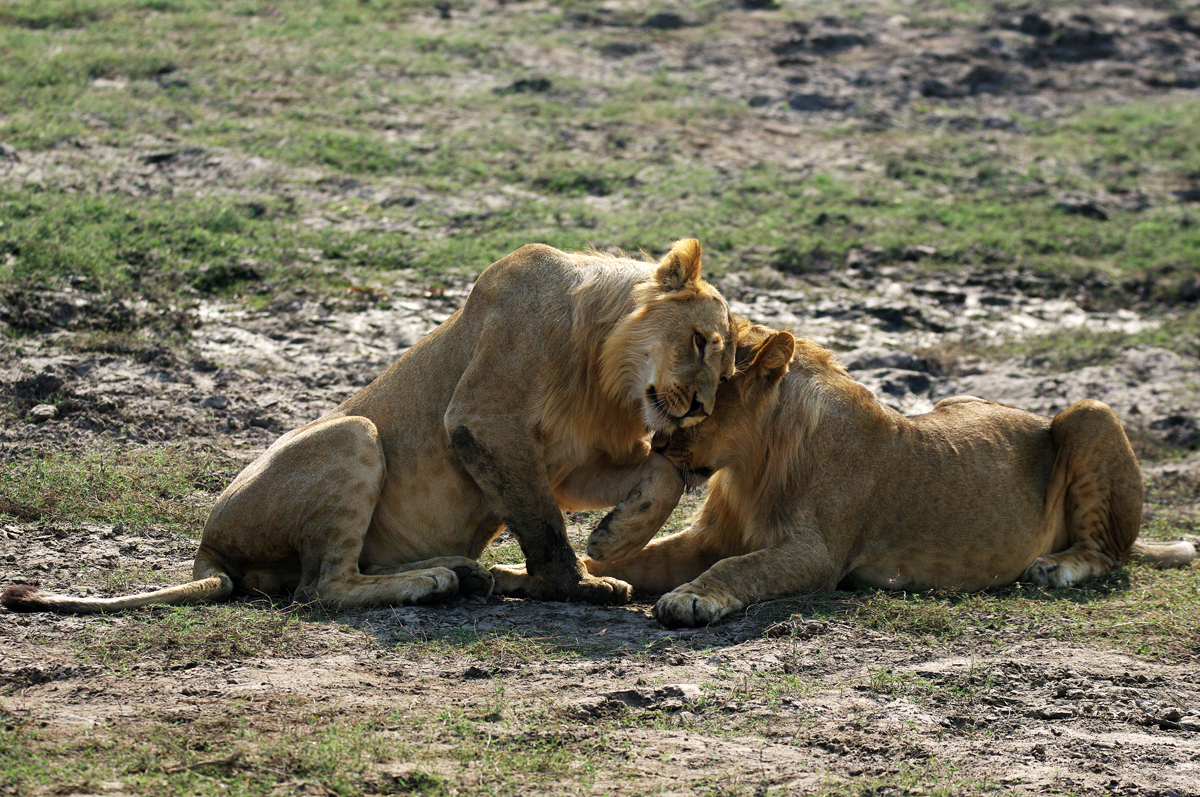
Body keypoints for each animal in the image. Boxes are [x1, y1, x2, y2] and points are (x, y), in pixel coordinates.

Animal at [4, 240, 734, 612]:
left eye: (728, 370)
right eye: (700, 341)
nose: (701, 407)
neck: (602, 368)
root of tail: (206, 546)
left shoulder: (570, 463)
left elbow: (662, 471)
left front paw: (615, 535)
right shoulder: (485, 420)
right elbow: (545, 526)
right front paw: (579, 583)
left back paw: (475, 573)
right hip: (353, 433)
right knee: (321, 589)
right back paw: (439, 582)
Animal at [585, 319, 1195, 628]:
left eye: (694, 403)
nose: (657, 445)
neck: (752, 462)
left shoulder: (819, 556)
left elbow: (741, 567)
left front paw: (690, 599)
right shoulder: (707, 539)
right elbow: (648, 558)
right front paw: (587, 574)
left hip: (1089, 413)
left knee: (1109, 551)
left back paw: (1056, 567)